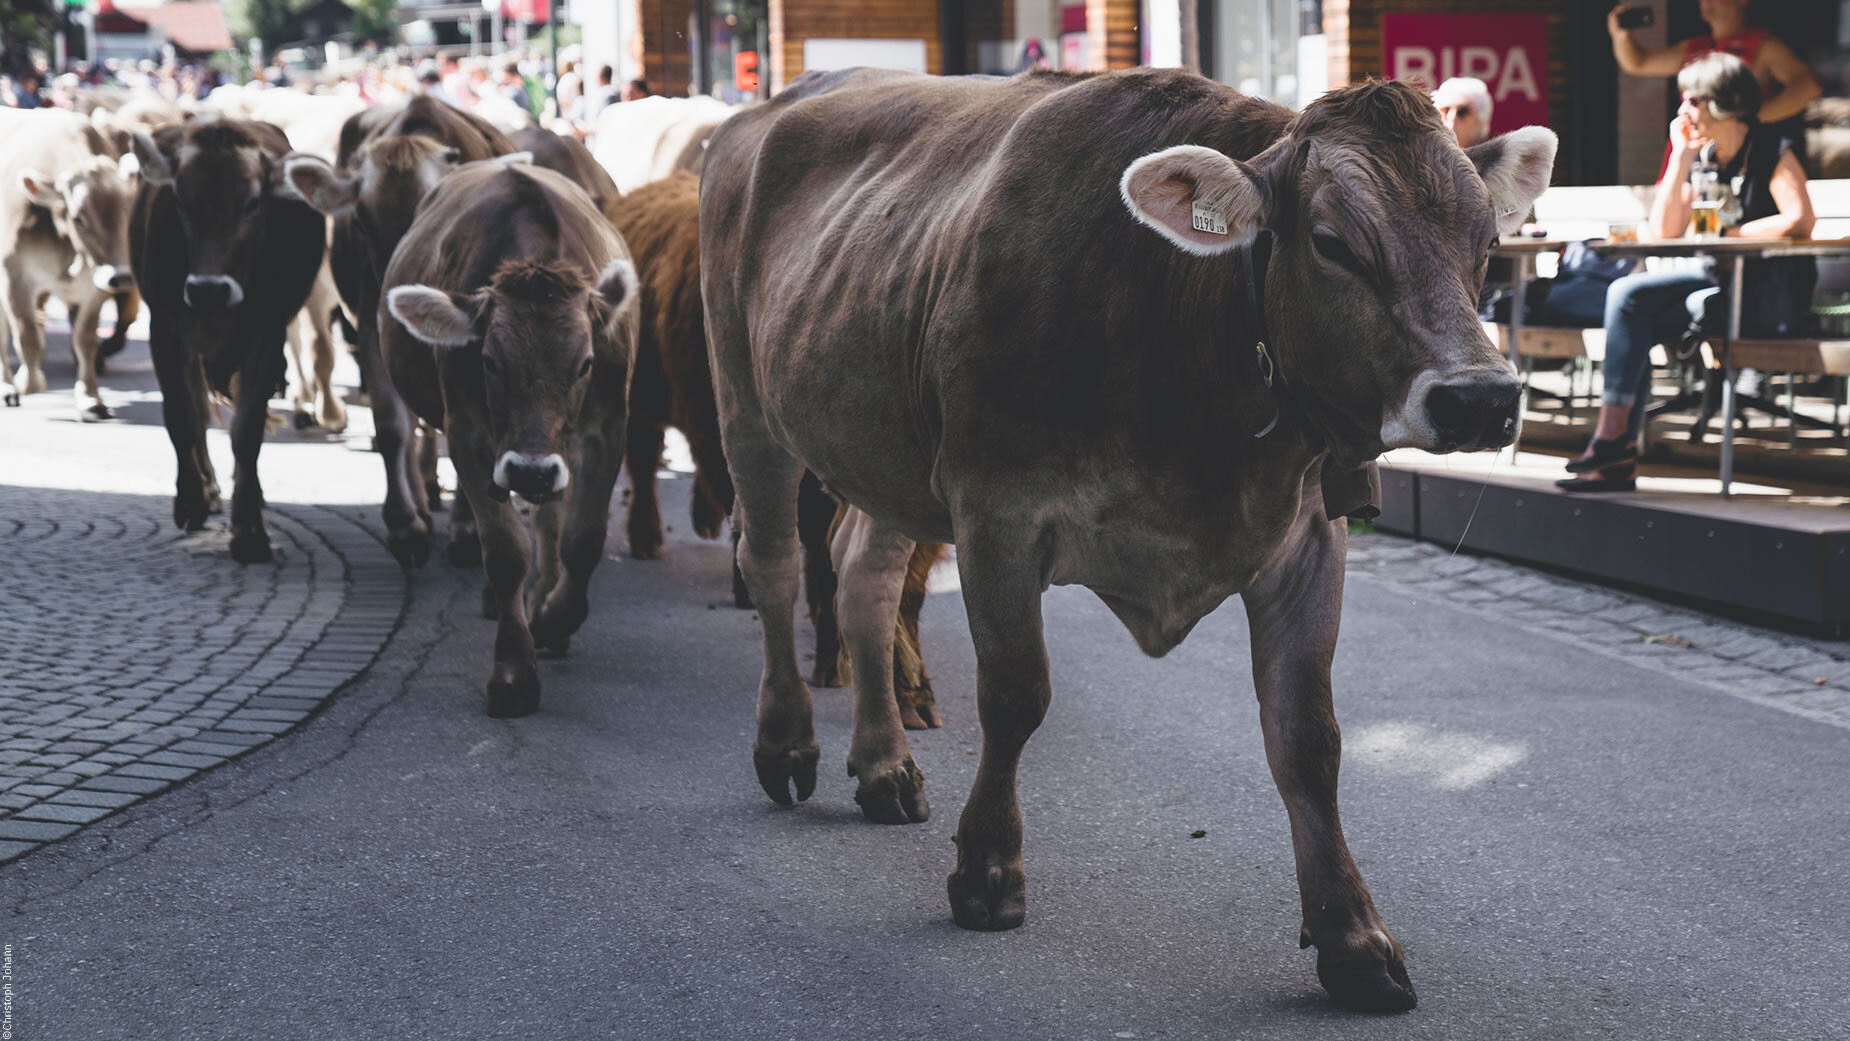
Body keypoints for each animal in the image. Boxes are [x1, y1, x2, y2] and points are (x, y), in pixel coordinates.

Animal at [0, 108, 139, 411]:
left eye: (128, 213)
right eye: (78, 217)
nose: (122, 277)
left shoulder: (96, 285)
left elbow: (85, 339)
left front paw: (90, 399)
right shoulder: (14, 277)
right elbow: (27, 334)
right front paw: (30, 381)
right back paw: (6, 386)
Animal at [129, 119, 328, 563]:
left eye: (253, 203)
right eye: (181, 199)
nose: (208, 289)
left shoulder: (266, 335)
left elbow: (247, 431)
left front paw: (249, 531)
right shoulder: (165, 330)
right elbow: (182, 419)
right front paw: (191, 501)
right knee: (198, 411)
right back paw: (208, 489)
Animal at [379, 160, 637, 716]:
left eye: (585, 363)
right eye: (490, 362)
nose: (531, 470)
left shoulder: (608, 428)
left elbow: (583, 540)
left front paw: (554, 620)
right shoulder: (467, 433)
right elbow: (504, 551)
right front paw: (514, 673)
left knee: (549, 521)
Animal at [701, 68, 1555, 1012]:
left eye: (1485, 240)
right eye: (1332, 243)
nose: (1479, 397)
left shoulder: (1307, 540)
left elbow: (1309, 737)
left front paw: (1353, 937)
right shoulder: (996, 513)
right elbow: (1016, 696)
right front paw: (987, 869)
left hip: (883, 452)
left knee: (864, 580)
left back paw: (885, 765)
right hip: (746, 404)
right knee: (774, 567)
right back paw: (787, 742)